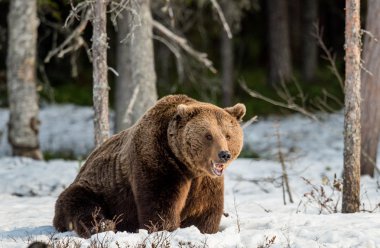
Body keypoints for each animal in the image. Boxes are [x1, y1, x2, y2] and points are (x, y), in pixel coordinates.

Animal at [52, 94, 245, 237]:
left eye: (228, 135)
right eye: (208, 136)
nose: (224, 154)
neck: (186, 166)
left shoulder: (205, 181)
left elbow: (204, 210)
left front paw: (203, 230)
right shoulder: (158, 163)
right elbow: (160, 205)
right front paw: (165, 229)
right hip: (96, 187)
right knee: (80, 203)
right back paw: (103, 225)